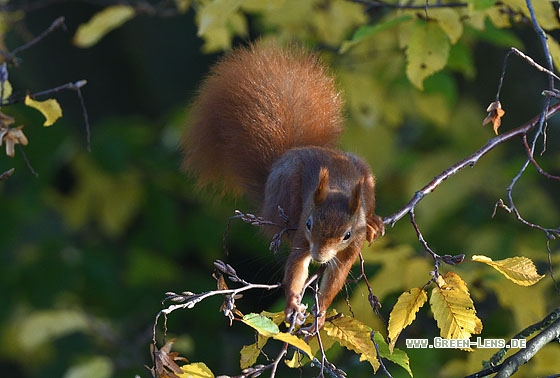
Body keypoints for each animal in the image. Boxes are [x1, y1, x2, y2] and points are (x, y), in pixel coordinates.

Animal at [183, 41, 384, 330]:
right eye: (310, 224)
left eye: (346, 235)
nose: (320, 257)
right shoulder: (303, 232)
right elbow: (297, 263)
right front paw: (292, 306)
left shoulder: (351, 245)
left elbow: (337, 275)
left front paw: (321, 312)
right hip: (286, 189)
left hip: (365, 175)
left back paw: (373, 222)